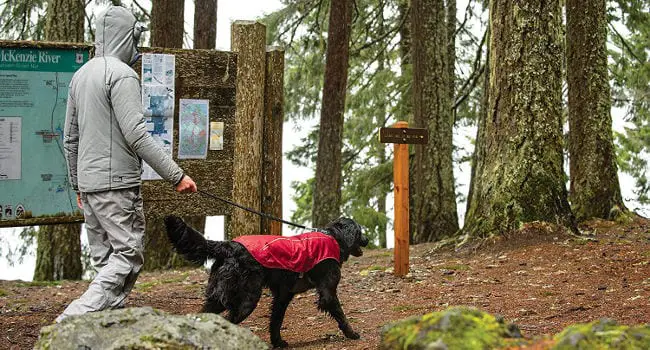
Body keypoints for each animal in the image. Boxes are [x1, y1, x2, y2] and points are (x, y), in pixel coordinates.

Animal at [165, 215, 368, 348]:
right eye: (360, 231)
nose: (367, 240)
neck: (334, 238)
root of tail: (228, 245)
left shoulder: (283, 295)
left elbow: (276, 321)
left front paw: (277, 342)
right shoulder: (327, 292)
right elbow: (341, 315)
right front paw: (352, 334)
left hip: (217, 299)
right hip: (247, 300)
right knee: (228, 322)